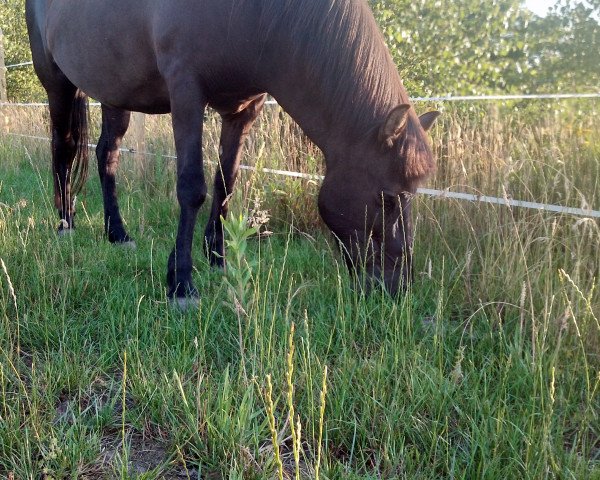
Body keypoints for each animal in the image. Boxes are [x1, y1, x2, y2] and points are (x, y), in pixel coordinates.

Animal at [25, 0, 438, 308]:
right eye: (387, 199)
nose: (398, 287)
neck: (255, 15)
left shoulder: (243, 110)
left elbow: (226, 182)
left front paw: (218, 259)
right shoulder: (186, 92)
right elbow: (192, 187)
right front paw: (181, 283)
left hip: (116, 93)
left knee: (106, 156)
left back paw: (118, 233)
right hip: (57, 84)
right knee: (64, 147)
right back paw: (64, 223)